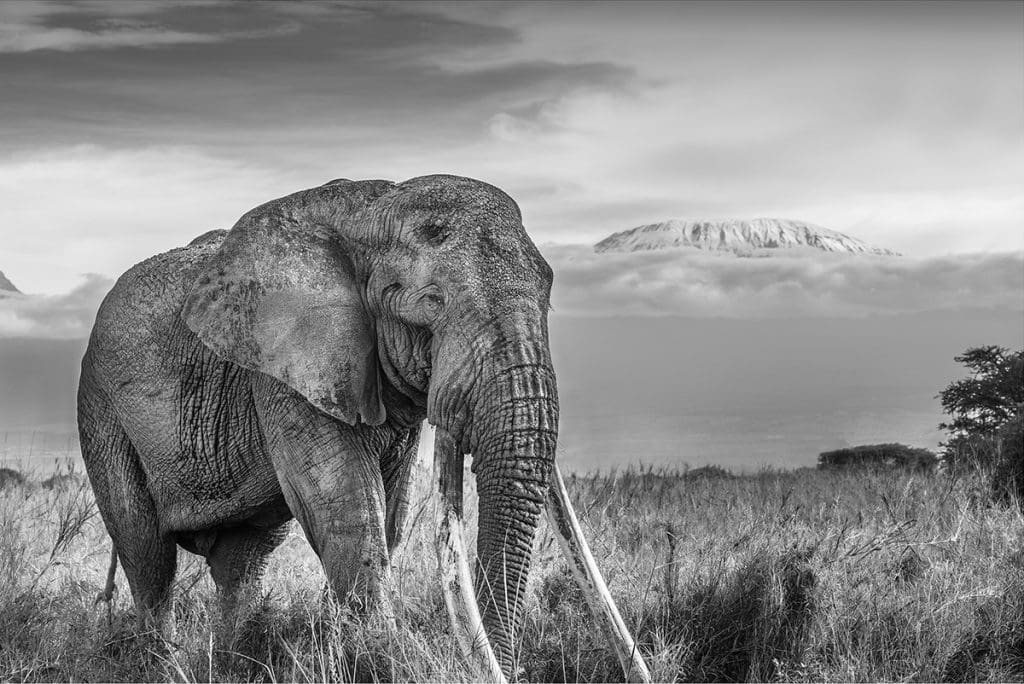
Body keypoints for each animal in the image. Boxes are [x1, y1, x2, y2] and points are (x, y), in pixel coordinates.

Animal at [77, 175, 650, 682]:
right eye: (432, 303)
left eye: (549, 296)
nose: (517, 672)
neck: (375, 208)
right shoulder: (287, 367)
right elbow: (349, 509)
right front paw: (378, 662)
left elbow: (390, 514)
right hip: (101, 407)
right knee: (147, 551)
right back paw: (163, 666)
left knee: (244, 560)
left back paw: (235, 666)